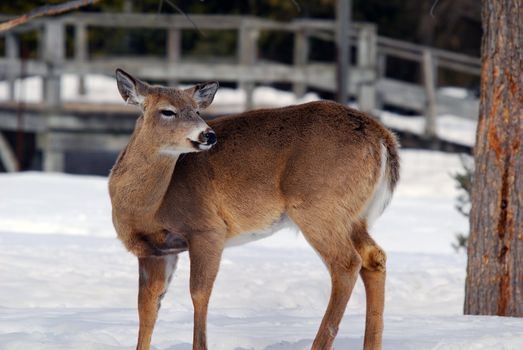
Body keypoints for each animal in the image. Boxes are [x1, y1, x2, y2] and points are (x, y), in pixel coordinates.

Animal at [107, 69, 402, 350]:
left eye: (197, 110)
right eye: (167, 111)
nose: (208, 134)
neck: (149, 208)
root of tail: (383, 138)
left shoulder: (207, 228)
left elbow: (199, 293)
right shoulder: (153, 251)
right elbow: (147, 306)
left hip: (318, 206)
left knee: (347, 263)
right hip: (354, 215)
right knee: (374, 256)